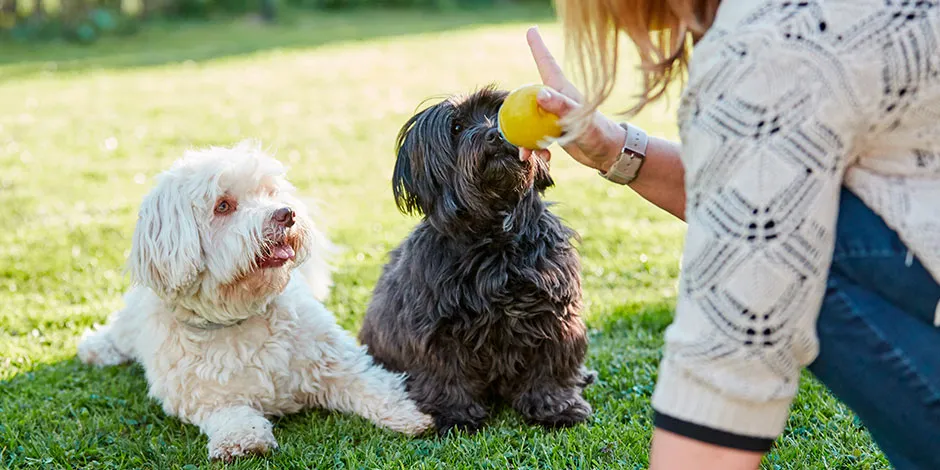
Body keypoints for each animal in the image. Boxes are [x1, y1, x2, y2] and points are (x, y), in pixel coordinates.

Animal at [77, 141, 434, 460]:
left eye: (269, 192)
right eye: (223, 205)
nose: (286, 214)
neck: (240, 312)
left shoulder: (335, 360)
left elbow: (372, 384)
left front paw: (409, 415)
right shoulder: (202, 397)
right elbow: (230, 413)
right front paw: (243, 440)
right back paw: (97, 348)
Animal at [360, 85, 596, 434]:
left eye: (496, 113)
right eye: (456, 127)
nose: (495, 135)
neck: (493, 237)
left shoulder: (553, 315)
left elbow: (549, 366)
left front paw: (556, 407)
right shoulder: (438, 328)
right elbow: (446, 374)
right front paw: (455, 415)